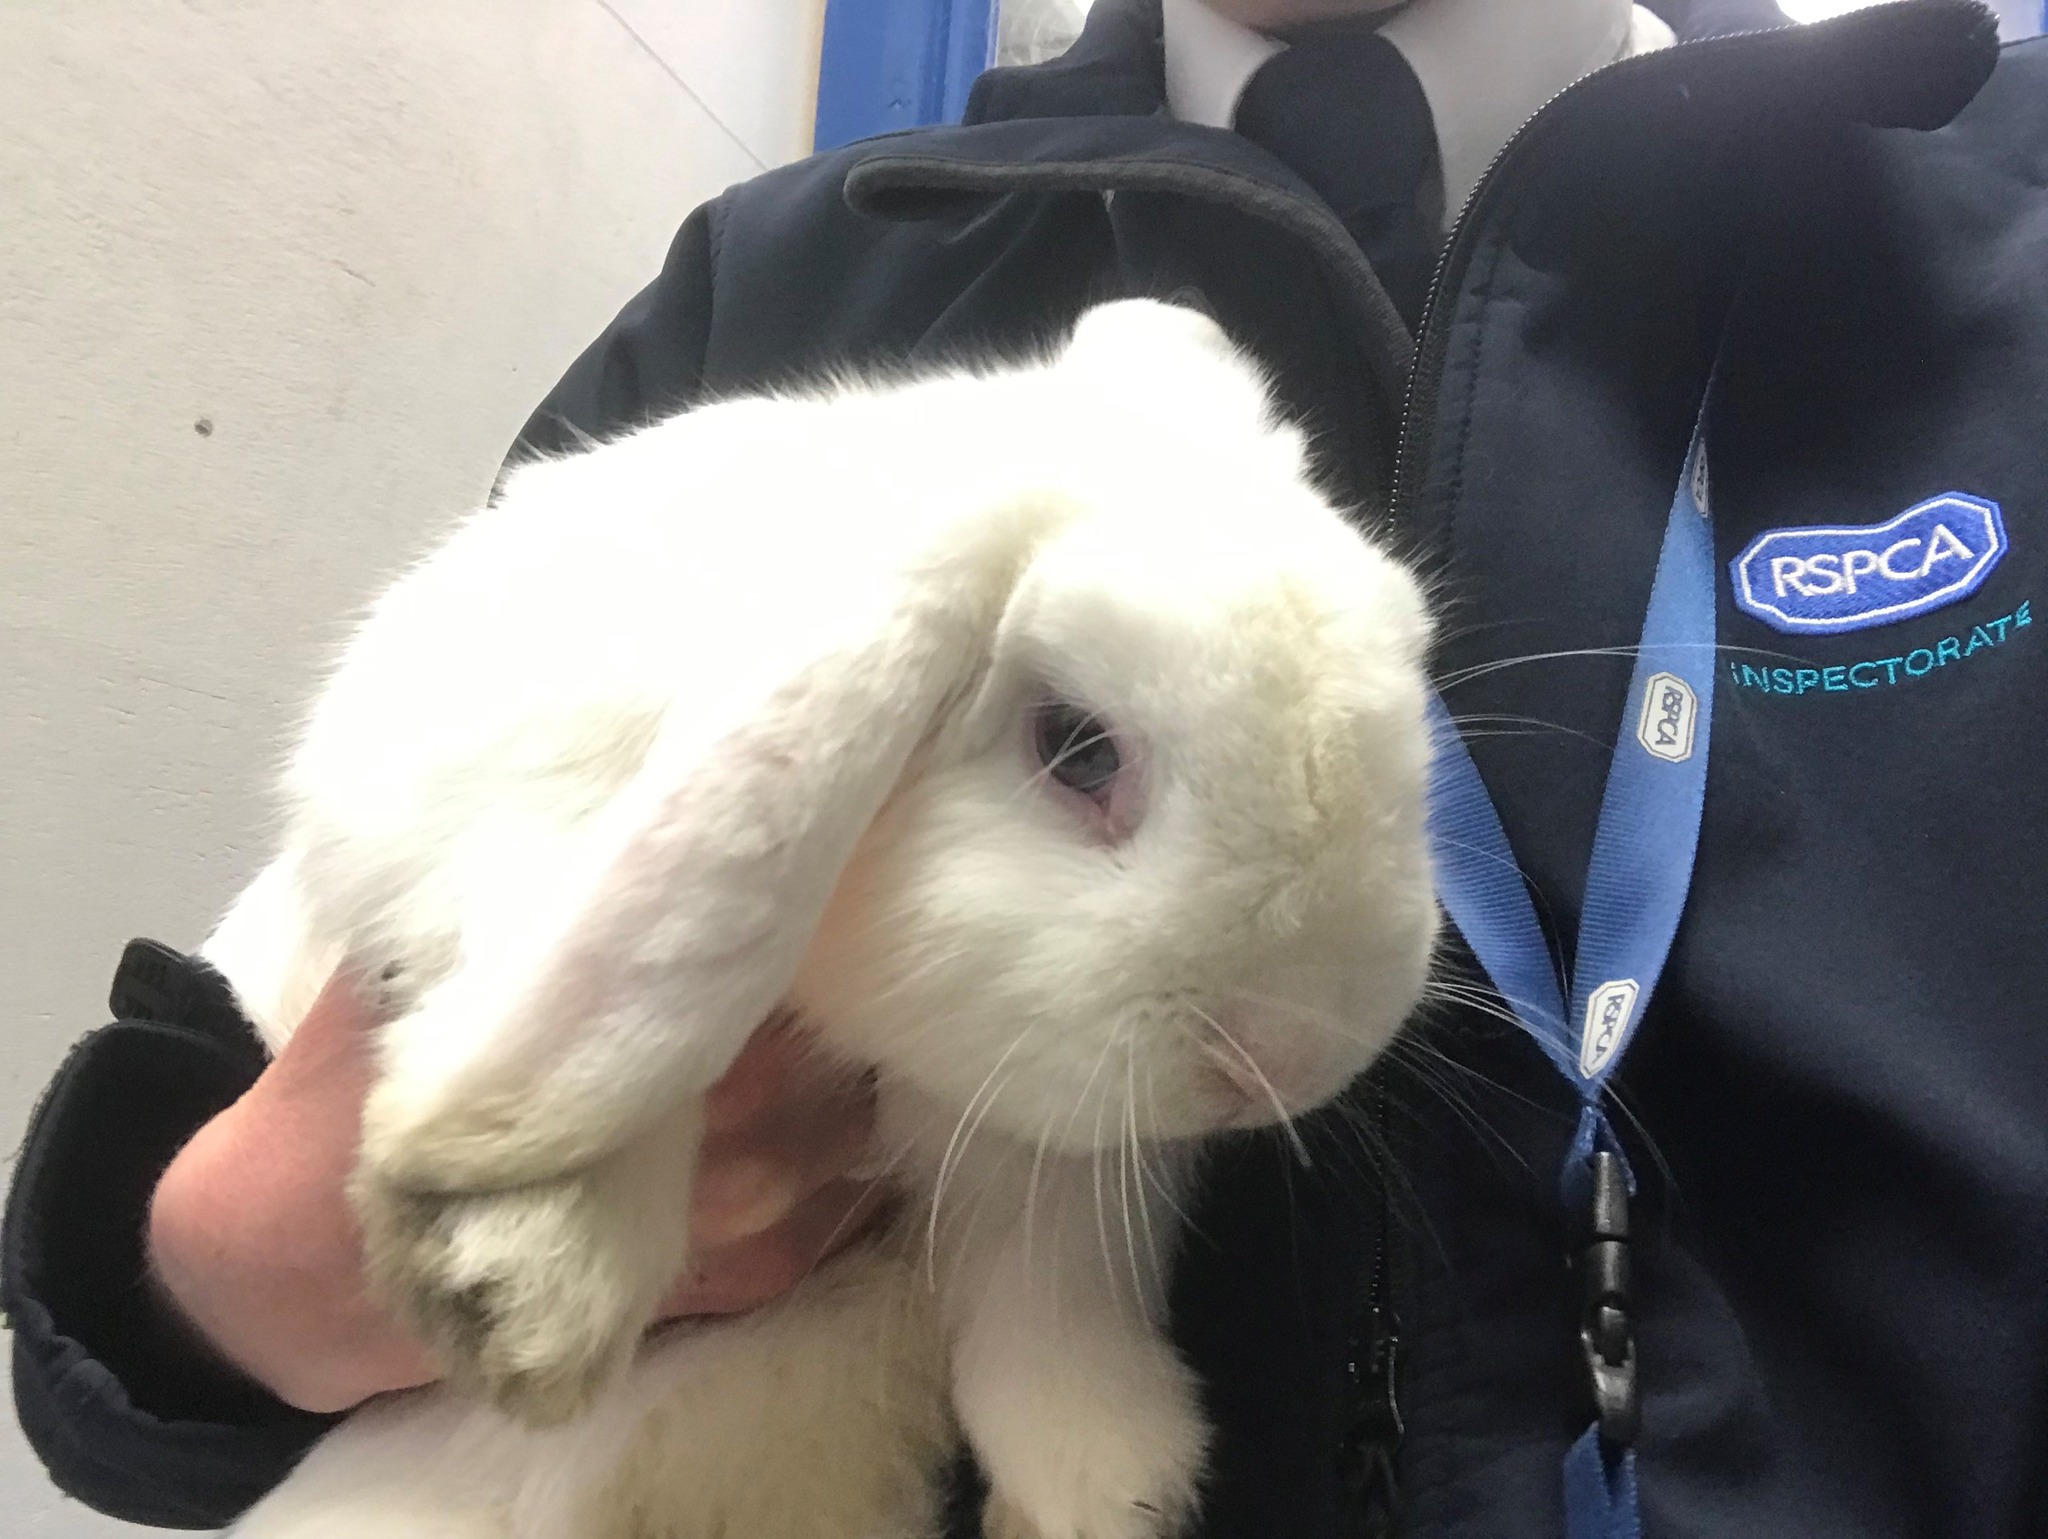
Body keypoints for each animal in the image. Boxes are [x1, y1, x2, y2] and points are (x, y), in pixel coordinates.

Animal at [201, 298, 1439, 1539]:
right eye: (1077, 749)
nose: (1283, 1058)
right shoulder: (458, 777)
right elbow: (571, 937)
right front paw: (525, 1280)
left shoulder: (1029, 1173)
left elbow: (1048, 1316)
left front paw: (1097, 1495)